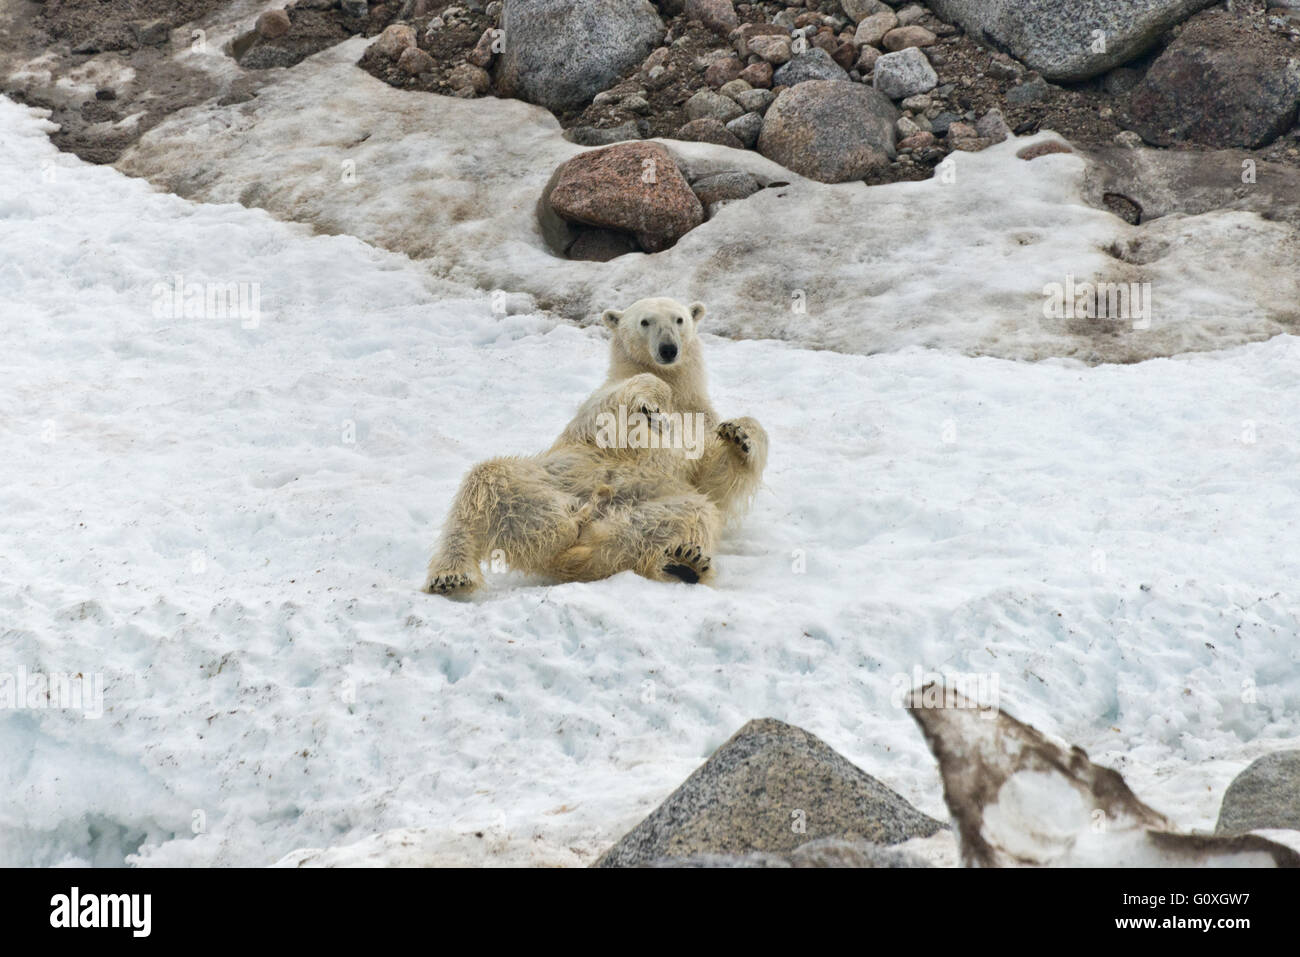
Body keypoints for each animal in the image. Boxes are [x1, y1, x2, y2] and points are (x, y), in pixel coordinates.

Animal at [426, 295, 764, 595]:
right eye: (645, 321)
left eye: (679, 319)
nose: (668, 349)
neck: (680, 394)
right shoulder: (598, 406)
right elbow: (611, 412)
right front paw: (650, 405)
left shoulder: (700, 420)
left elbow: (713, 478)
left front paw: (739, 434)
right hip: (551, 478)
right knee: (484, 484)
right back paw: (454, 574)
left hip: (658, 501)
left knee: (689, 516)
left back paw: (680, 562)